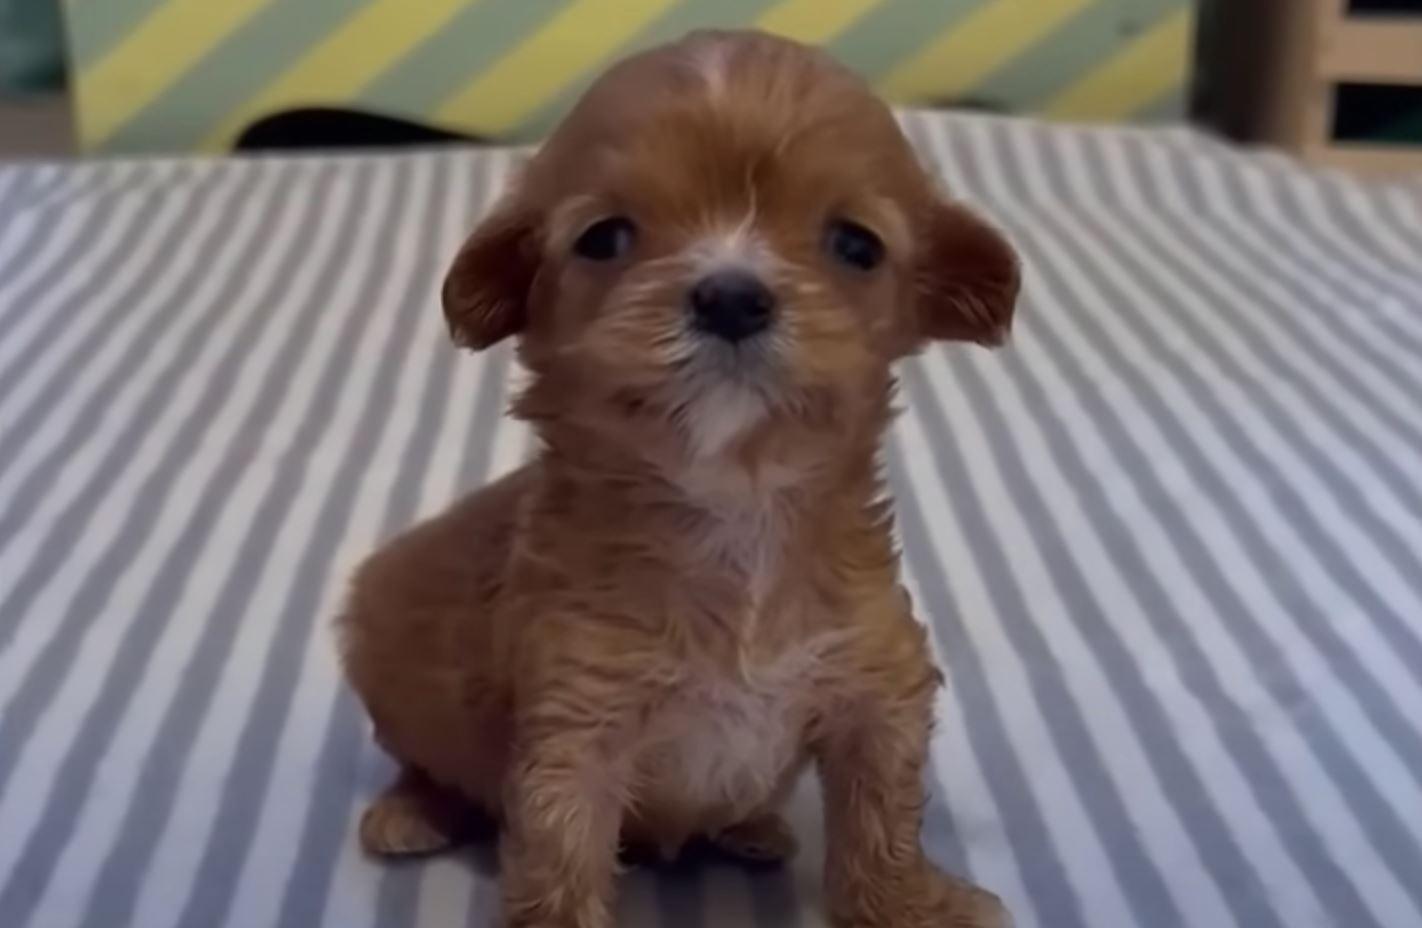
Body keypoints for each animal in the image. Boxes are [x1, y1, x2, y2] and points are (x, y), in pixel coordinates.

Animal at [338, 28, 1018, 926]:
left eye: (856, 246)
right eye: (605, 238)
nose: (731, 295)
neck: (734, 504)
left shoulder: (880, 683)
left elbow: (883, 815)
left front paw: (910, 903)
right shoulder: (574, 727)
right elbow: (558, 862)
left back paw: (754, 826)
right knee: (423, 760)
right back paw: (413, 810)